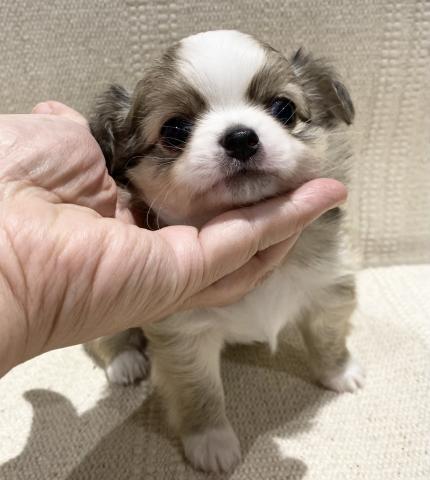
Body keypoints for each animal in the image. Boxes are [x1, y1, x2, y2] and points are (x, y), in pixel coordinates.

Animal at [87, 30, 364, 473]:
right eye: (175, 129)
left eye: (283, 109)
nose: (240, 137)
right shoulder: (184, 335)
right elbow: (199, 392)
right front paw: (211, 443)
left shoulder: (329, 284)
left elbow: (327, 336)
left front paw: (340, 371)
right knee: (108, 338)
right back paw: (125, 361)